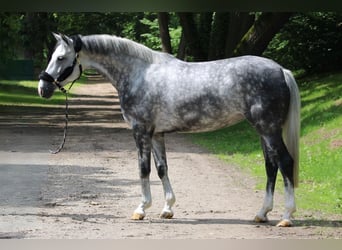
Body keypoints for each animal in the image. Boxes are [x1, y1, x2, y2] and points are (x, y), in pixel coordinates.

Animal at [38, 33, 300, 227]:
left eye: (60, 58)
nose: (42, 88)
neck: (139, 74)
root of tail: (281, 70)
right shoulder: (156, 134)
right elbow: (162, 168)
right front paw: (167, 209)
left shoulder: (141, 131)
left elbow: (143, 169)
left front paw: (141, 209)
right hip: (263, 131)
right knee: (271, 166)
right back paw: (262, 213)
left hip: (268, 129)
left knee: (285, 162)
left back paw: (286, 217)